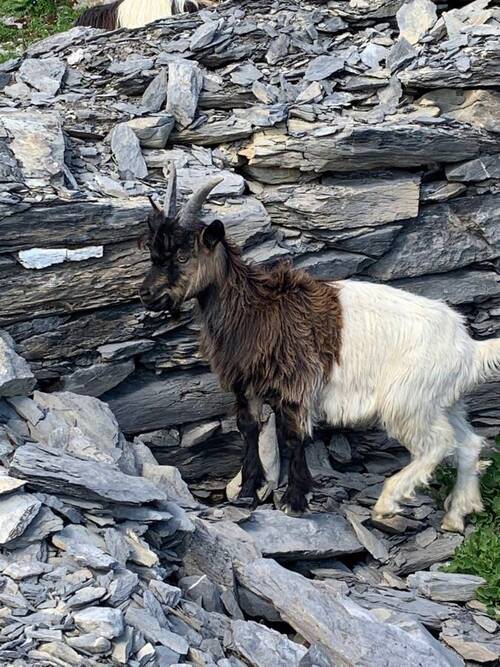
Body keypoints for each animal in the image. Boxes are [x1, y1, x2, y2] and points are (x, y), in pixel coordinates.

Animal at [139, 166, 499, 532]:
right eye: (153, 254)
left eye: (183, 255)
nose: (146, 295)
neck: (255, 308)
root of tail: (467, 346)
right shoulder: (246, 384)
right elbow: (248, 428)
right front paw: (247, 493)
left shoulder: (294, 384)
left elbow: (292, 435)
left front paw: (295, 501)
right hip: (441, 400)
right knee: (468, 442)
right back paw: (455, 515)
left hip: (407, 398)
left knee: (438, 444)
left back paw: (388, 502)